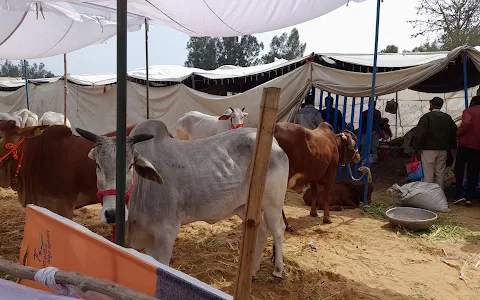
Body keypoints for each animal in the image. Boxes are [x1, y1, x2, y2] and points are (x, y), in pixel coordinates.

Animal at [77, 119, 288, 278]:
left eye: (130, 166)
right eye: (98, 165)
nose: (112, 214)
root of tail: (275, 143)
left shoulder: (166, 233)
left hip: (273, 204)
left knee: (278, 230)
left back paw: (277, 271)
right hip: (247, 207)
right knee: (261, 230)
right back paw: (253, 270)